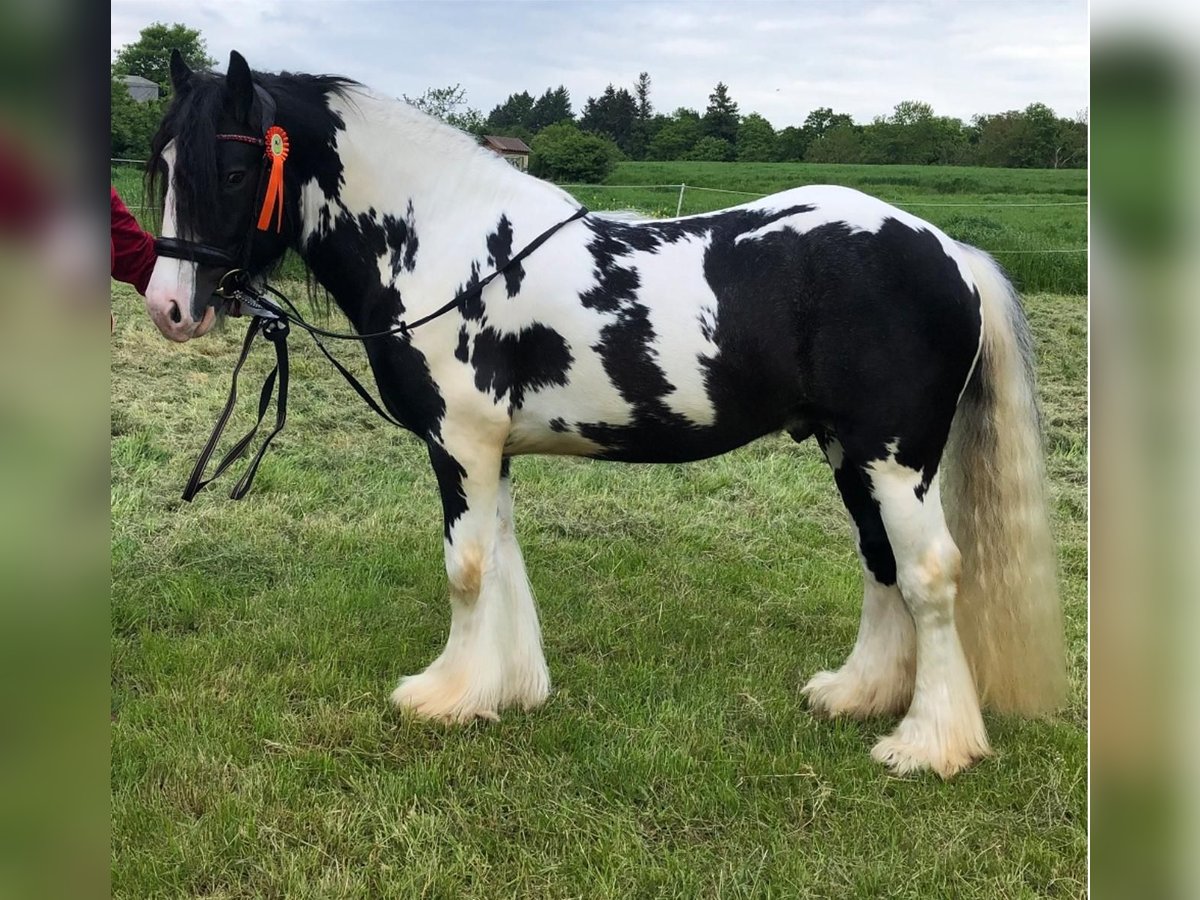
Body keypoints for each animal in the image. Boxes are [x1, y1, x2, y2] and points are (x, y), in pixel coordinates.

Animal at [145, 52, 1065, 777]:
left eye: (232, 174)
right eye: (165, 165)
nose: (169, 307)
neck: (447, 245)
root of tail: (950, 252)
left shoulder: (459, 444)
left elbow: (466, 568)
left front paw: (446, 696)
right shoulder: (489, 451)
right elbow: (502, 560)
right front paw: (508, 687)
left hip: (895, 457)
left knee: (930, 575)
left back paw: (927, 744)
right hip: (851, 454)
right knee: (881, 563)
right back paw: (856, 695)